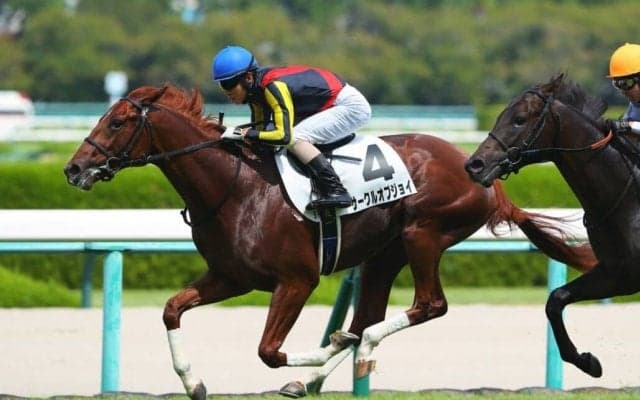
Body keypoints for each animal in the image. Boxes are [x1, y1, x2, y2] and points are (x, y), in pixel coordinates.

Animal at [64, 84, 597, 399]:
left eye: (116, 122)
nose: (73, 168)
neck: (233, 187)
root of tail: (479, 168)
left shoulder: (296, 280)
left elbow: (268, 350)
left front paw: (324, 347)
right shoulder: (230, 277)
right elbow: (172, 309)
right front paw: (194, 382)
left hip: (423, 233)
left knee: (426, 306)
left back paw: (343, 355)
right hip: (385, 253)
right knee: (368, 316)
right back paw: (314, 375)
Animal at [464, 73, 640, 379]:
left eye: (519, 119)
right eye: (500, 115)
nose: (475, 164)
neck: (629, 200)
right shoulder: (618, 273)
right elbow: (555, 300)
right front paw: (587, 361)